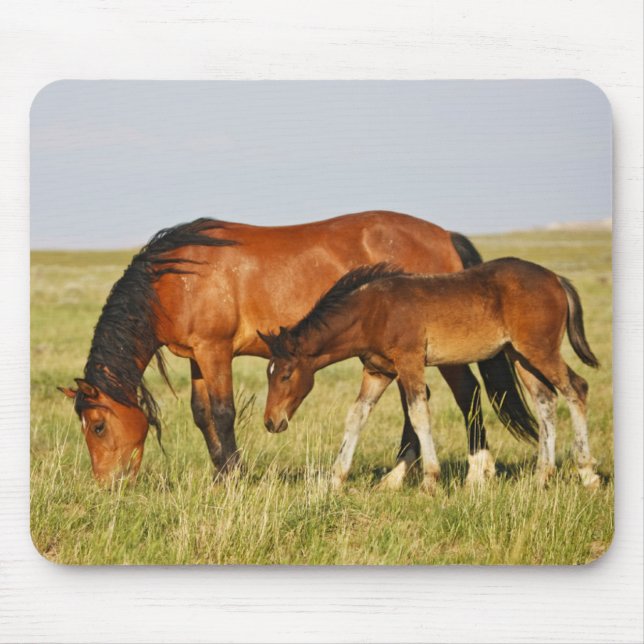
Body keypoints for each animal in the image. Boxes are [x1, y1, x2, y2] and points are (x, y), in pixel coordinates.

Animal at [58, 210, 537, 484]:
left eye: (97, 426)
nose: (108, 485)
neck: (175, 279)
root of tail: (444, 235)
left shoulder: (215, 352)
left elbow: (222, 413)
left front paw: (234, 479)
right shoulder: (197, 357)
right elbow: (201, 415)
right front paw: (219, 475)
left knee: (466, 394)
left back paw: (478, 471)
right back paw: (398, 477)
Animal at [259, 259, 601, 492]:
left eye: (285, 375)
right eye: (268, 374)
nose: (271, 422)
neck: (374, 311)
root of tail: (555, 278)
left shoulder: (410, 362)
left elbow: (418, 413)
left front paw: (430, 481)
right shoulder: (378, 371)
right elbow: (356, 416)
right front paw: (334, 479)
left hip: (540, 350)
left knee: (577, 388)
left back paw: (587, 473)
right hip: (520, 356)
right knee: (546, 401)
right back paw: (542, 475)